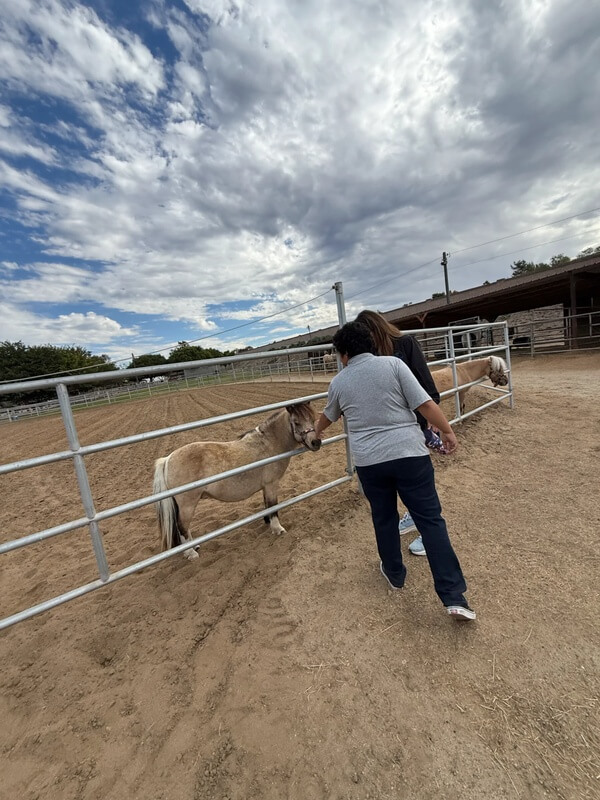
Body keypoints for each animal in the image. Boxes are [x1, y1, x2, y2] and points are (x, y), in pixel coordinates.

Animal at [152, 402, 322, 560]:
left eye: (312, 419)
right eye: (296, 422)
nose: (316, 442)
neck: (269, 444)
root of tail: (167, 459)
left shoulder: (265, 487)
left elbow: (267, 505)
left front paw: (268, 522)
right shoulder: (271, 484)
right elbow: (273, 506)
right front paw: (277, 529)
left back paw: (195, 546)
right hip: (188, 503)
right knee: (182, 526)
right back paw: (191, 553)